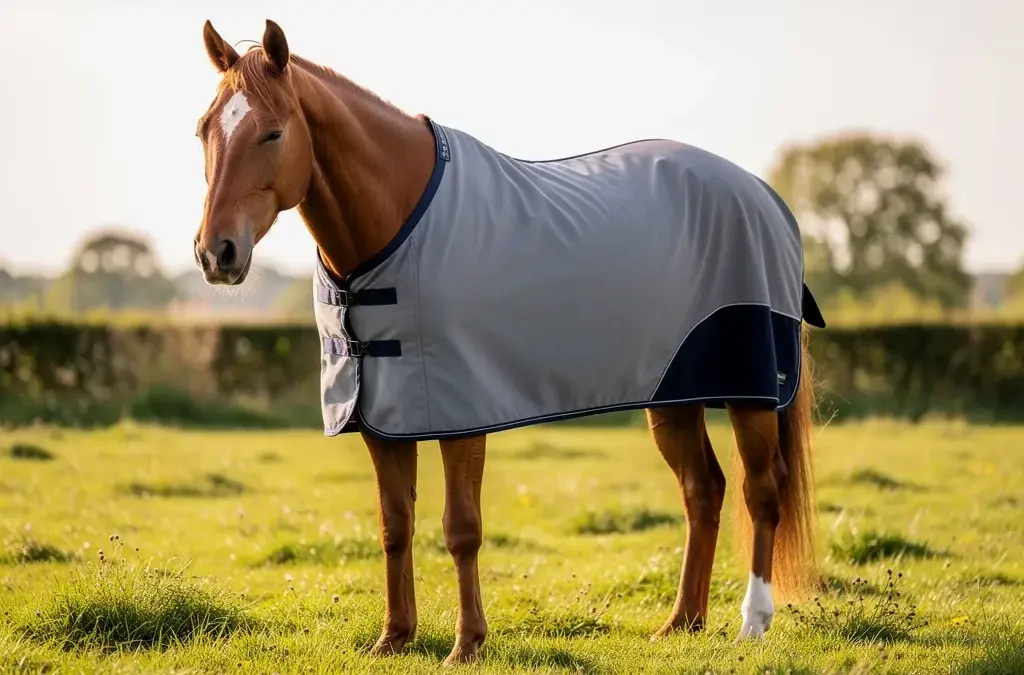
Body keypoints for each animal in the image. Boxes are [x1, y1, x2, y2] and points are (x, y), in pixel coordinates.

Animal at [193, 19, 824, 665]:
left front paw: (467, 644)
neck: (397, 223)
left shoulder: (461, 412)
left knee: (761, 490)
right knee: (703, 490)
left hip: (749, 393)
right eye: (204, 130)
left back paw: (753, 622)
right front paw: (394, 638)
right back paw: (682, 622)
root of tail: (765, 198)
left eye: (272, 132)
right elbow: (395, 524)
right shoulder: (381, 417)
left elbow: (461, 528)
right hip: (674, 394)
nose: (216, 253)